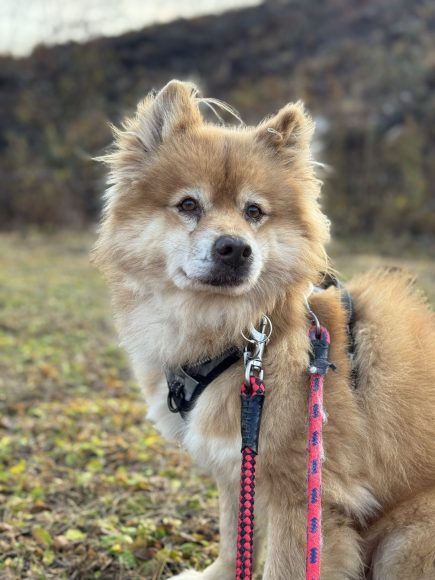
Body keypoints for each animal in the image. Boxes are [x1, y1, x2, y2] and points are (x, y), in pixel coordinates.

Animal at [93, 80, 435, 579]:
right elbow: (235, 533)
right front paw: (217, 574)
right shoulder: (239, 458)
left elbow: (283, 563)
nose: (235, 248)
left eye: (254, 212)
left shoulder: (303, 493)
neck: (242, 339)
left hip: (405, 542)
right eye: (188, 205)